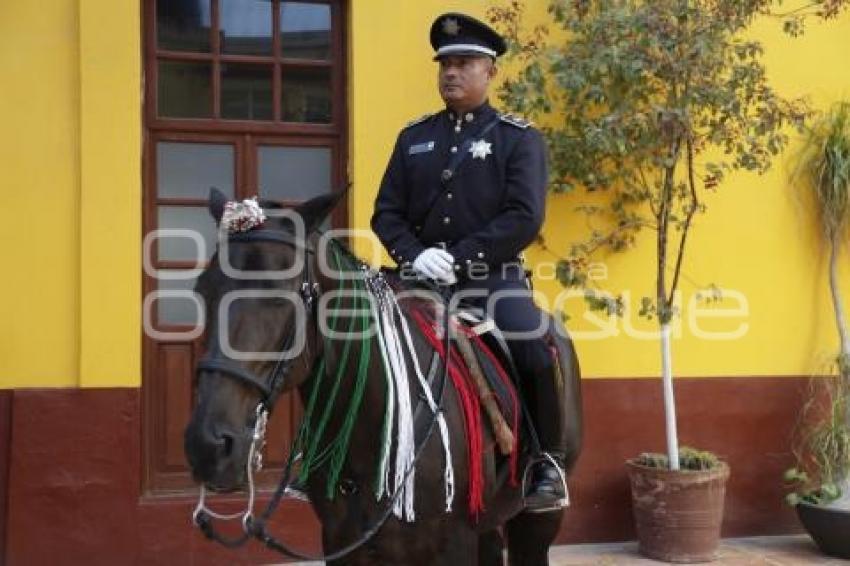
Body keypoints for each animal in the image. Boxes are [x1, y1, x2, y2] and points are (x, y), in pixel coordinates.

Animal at [184, 192, 584, 566]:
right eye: (203, 291)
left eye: (283, 296)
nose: (208, 446)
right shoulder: (343, 544)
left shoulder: (452, 545)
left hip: (536, 521)